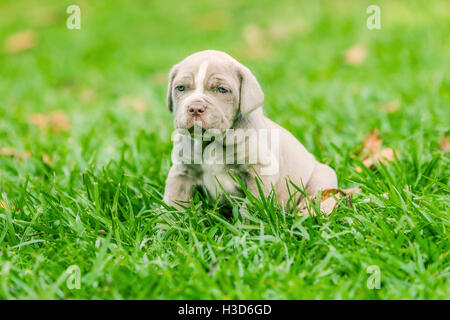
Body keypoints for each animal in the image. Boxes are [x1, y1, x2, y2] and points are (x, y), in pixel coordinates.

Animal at [163, 50, 336, 210]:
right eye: (180, 88)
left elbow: (252, 206)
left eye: (222, 90)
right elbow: (173, 203)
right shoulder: (182, 173)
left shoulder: (258, 173)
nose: (195, 108)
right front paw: (168, 222)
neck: (211, 142)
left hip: (322, 177)